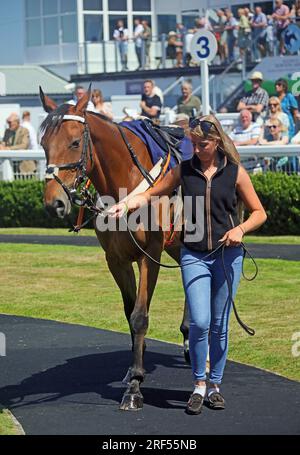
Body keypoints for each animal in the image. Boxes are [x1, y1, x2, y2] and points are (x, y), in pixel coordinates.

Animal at [39, 87, 190, 412]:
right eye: (43, 144)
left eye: (74, 142)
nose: (54, 202)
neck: (127, 182)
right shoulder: (116, 260)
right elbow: (129, 313)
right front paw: (133, 373)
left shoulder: (150, 255)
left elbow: (140, 316)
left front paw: (134, 389)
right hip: (176, 243)